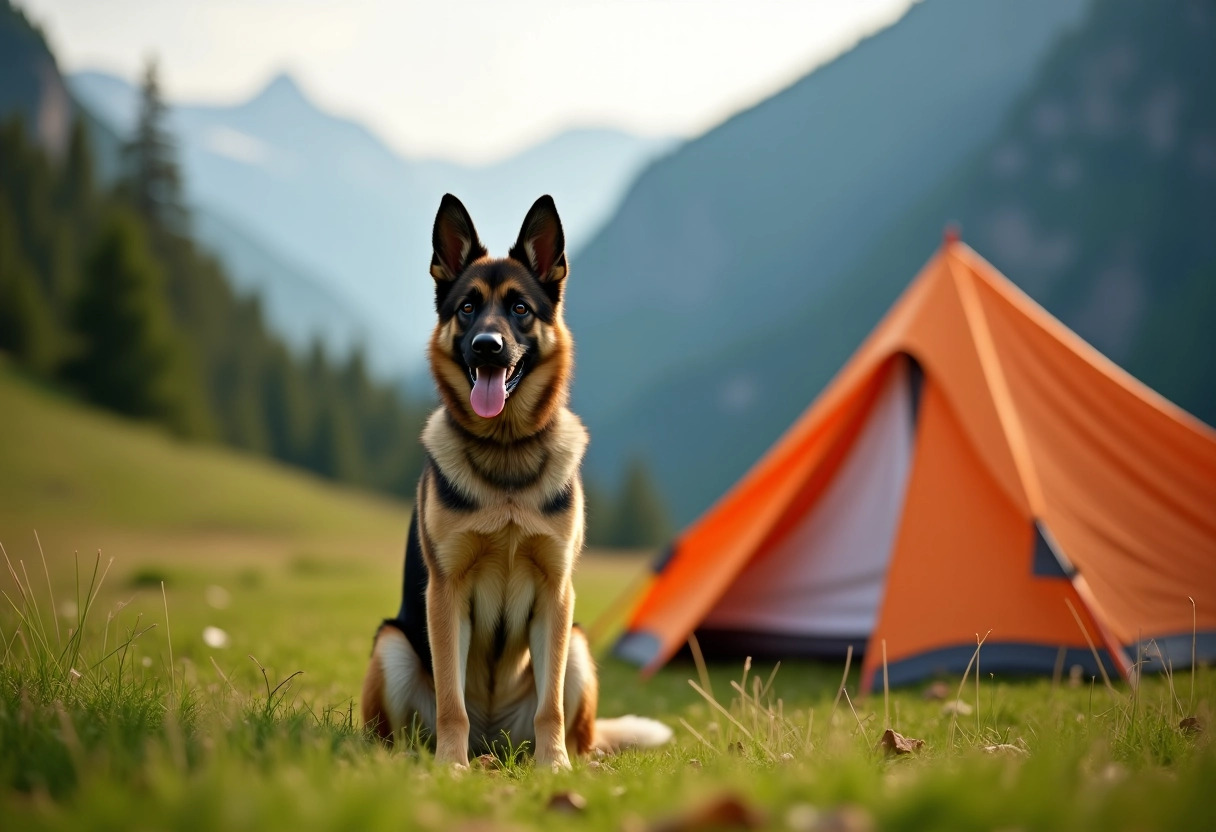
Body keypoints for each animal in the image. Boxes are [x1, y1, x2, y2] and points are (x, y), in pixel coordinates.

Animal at [359, 193, 671, 768]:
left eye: (520, 309)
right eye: (467, 308)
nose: (487, 346)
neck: (505, 456)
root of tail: (494, 741)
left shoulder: (556, 595)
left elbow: (550, 707)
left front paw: (554, 767)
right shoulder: (446, 593)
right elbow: (451, 701)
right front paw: (450, 768)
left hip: (578, 647)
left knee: (577, 728)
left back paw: (565, 759)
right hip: (392, 645)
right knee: (406, 731)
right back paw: (434, 759)